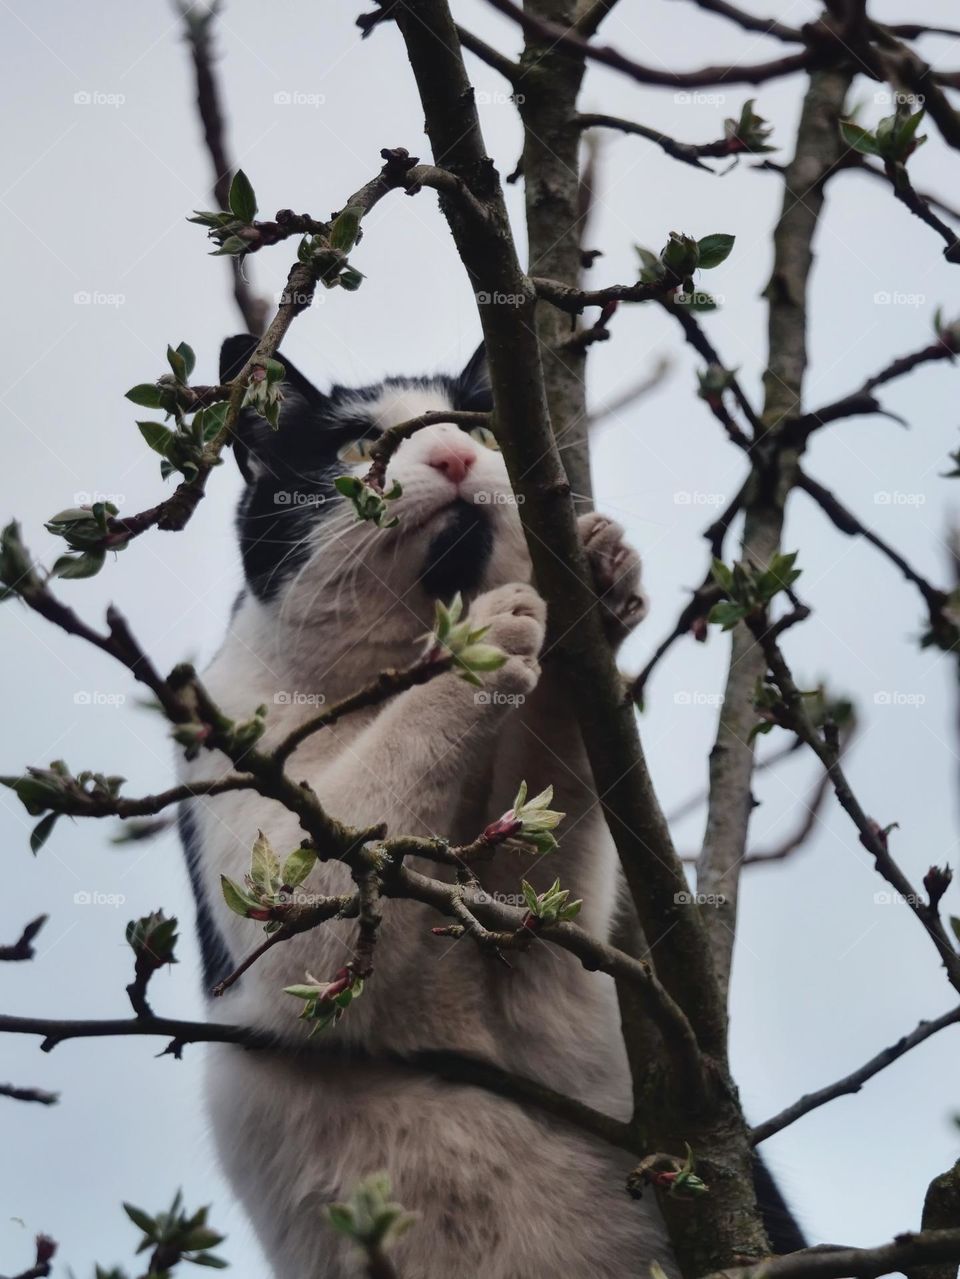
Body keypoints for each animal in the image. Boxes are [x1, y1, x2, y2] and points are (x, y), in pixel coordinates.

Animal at [178, 337, 802, 1279]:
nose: (453, 457)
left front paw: (597, 584)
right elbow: (318, 906)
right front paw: (482, 642)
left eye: (479, 429)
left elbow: (541, 861)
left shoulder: (543, 944)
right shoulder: (255, 814)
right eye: (361, 446)